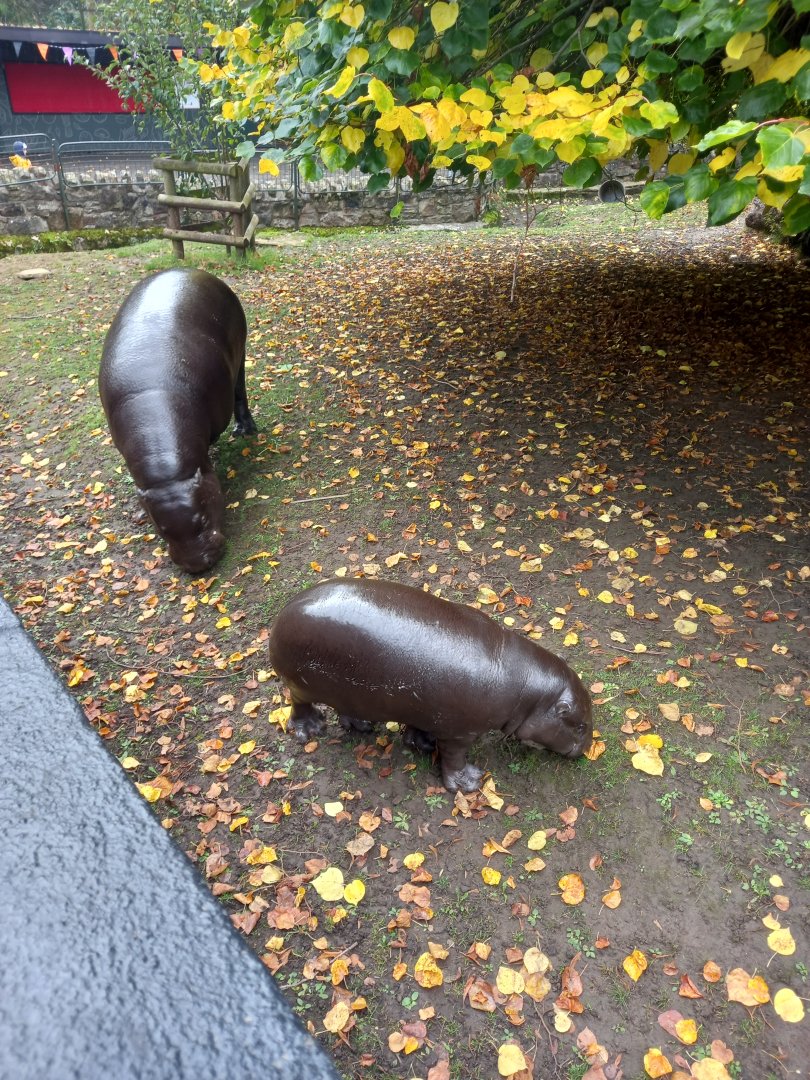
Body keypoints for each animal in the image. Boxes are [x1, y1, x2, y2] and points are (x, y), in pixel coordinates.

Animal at [98, 268, 256, 574]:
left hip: (241, 349)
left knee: (240, 389)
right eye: (162, 529)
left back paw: (245, 430)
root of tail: (192, 270)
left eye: (203, 519)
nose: (197, 564)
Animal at [267, 578, 593, 792]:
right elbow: (454, 758)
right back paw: (311, 729)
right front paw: (469, 783)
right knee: (298, 704)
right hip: (300, 684)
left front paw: (421, 743)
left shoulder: (429, 710)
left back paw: (361, 726)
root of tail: (285, 609)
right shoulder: (461, 732)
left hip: (348, 689)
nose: (587, 750)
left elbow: (421, 728)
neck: (527, 688)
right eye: (580, 726)